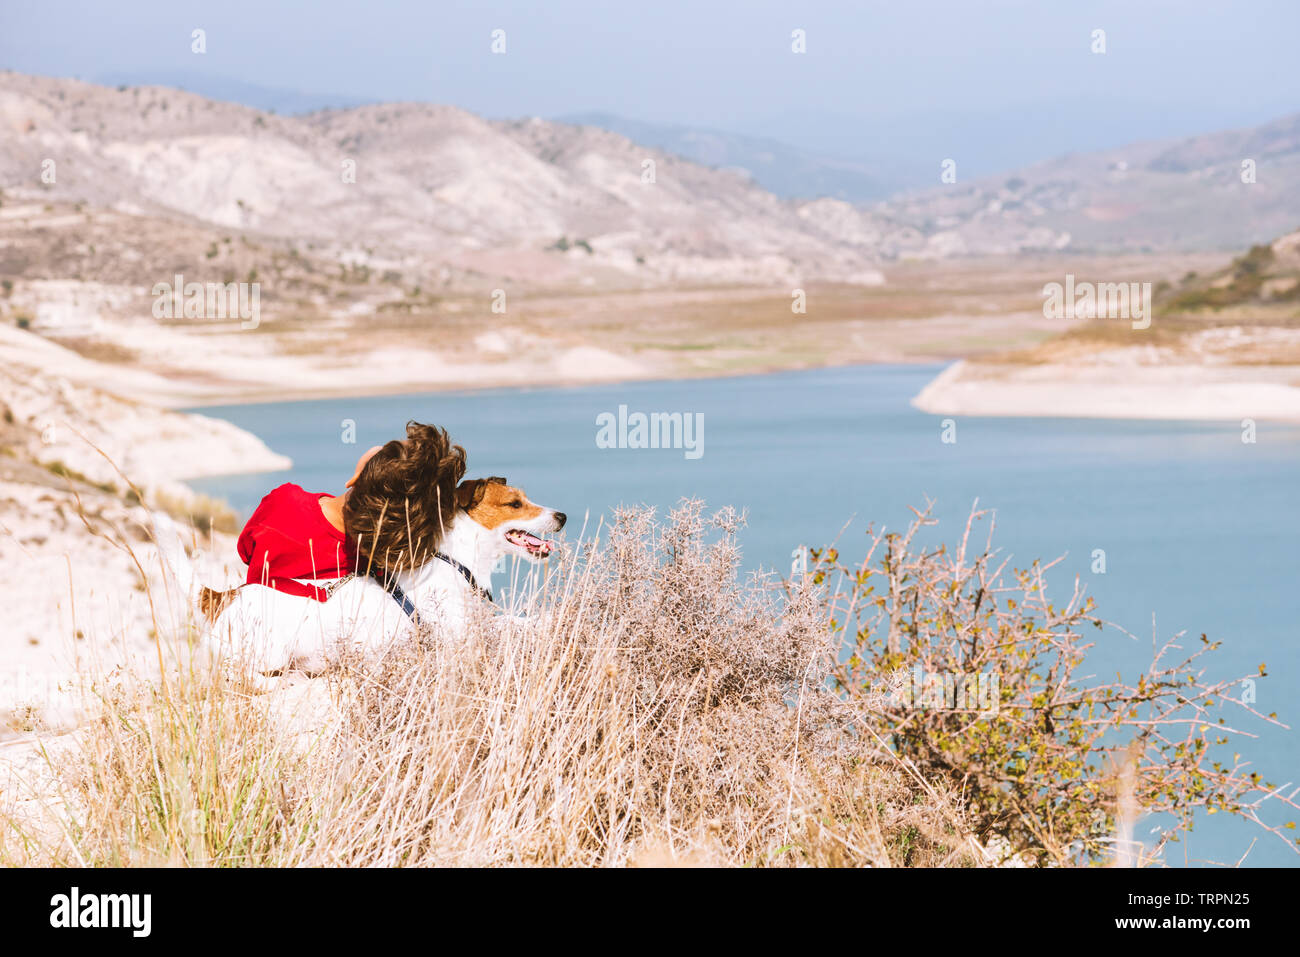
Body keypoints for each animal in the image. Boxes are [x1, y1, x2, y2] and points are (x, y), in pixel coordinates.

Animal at [157, 475, 564, 686]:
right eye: (514, 504)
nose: (562, 516)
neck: (456, 560)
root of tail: (222, 596)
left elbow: (511, 622)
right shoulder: (458, 635)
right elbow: (506, 627)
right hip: (265, 652)